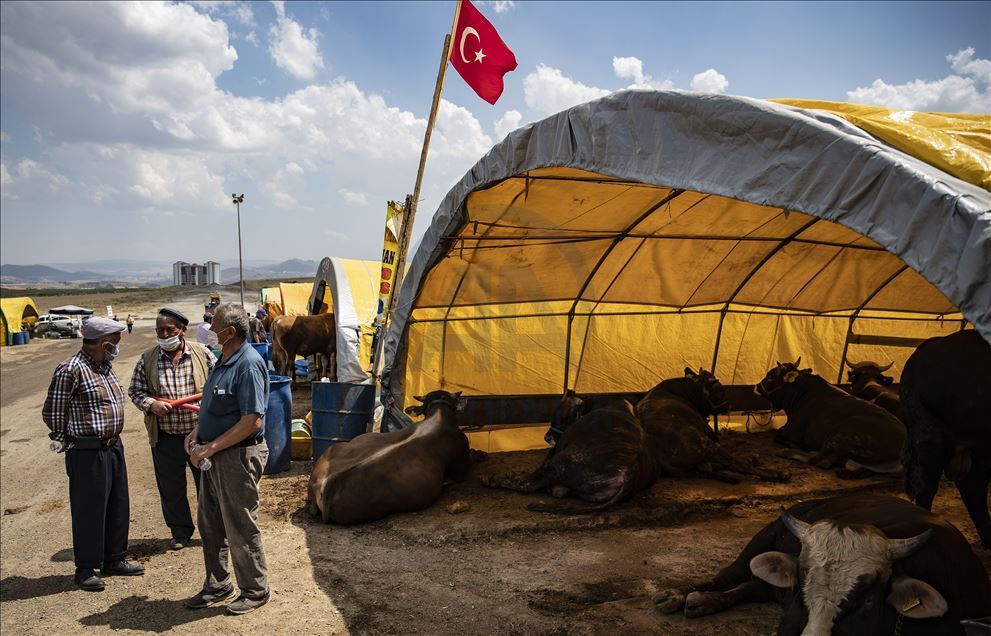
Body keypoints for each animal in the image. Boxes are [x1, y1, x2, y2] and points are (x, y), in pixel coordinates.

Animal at [482, 392, 660, 512]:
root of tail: (631, 470)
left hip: (559, 463)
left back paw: (492, 479)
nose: (547, 437)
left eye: (565, 417)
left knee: (528, 483)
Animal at [760, 360, 908, 474]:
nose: (757, 387)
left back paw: (787, 451)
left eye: (770, 376)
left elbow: (778, 435)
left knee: (821, 460)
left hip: (840, 436)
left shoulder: (791, 430)